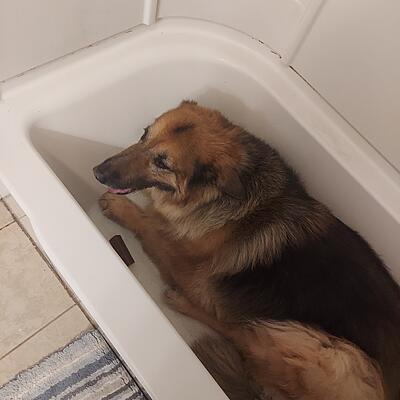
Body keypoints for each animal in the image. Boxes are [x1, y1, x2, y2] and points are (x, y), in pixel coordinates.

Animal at [94, 101, 400, 400]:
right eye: (144, 135)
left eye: (162, 163)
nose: (98, 172)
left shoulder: (193, 274)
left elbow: (151, 228)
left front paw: (123, 210)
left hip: (326, 350)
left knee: (239, 333)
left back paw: (182, 302)